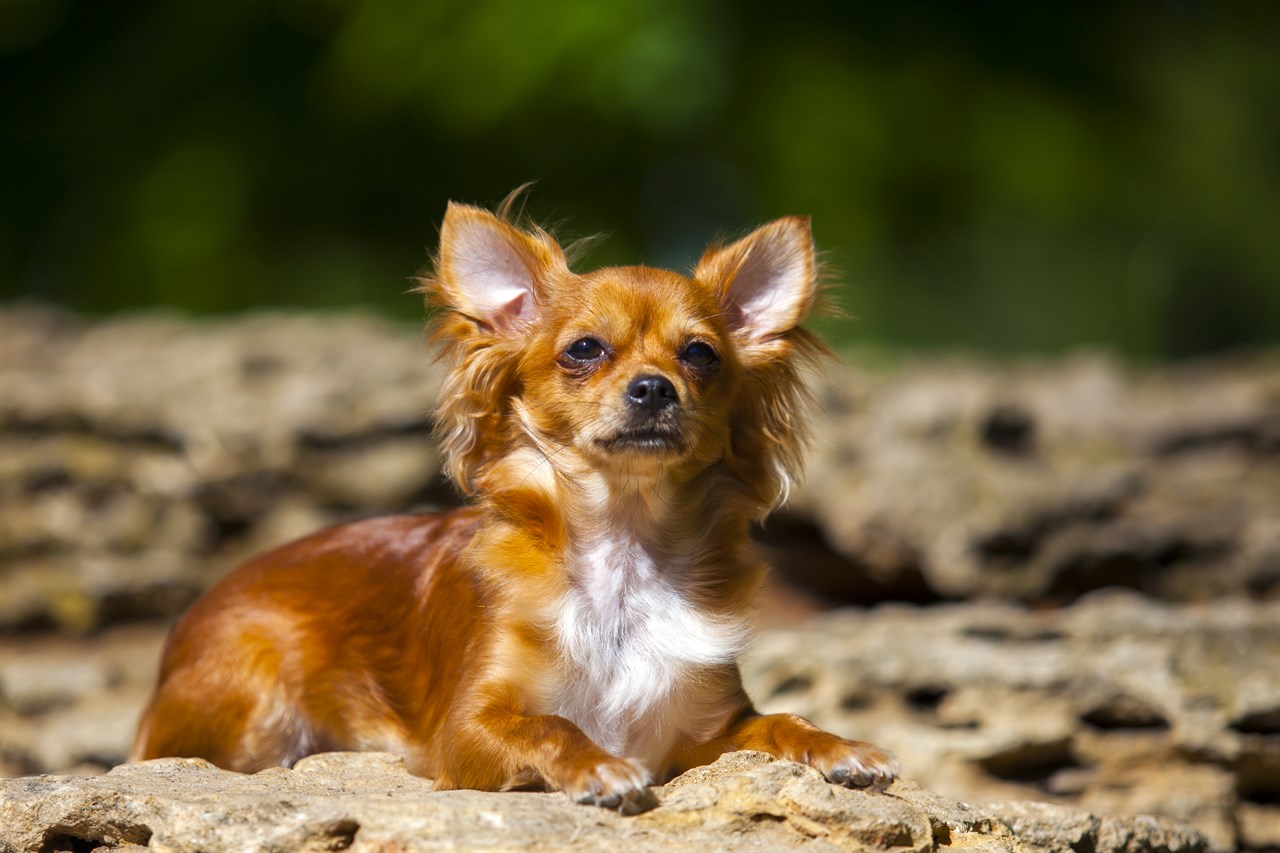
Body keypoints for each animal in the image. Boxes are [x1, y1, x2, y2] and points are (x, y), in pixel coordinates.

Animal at [124, 194, 896, 809]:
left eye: (701, 355)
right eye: (584, 349)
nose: (654, 387)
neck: (623, 552)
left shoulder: (704, 733)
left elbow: (782, 720)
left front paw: (841, 747)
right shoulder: (465, 732)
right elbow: (550, 724)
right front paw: (599, 769)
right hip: (256, 702)